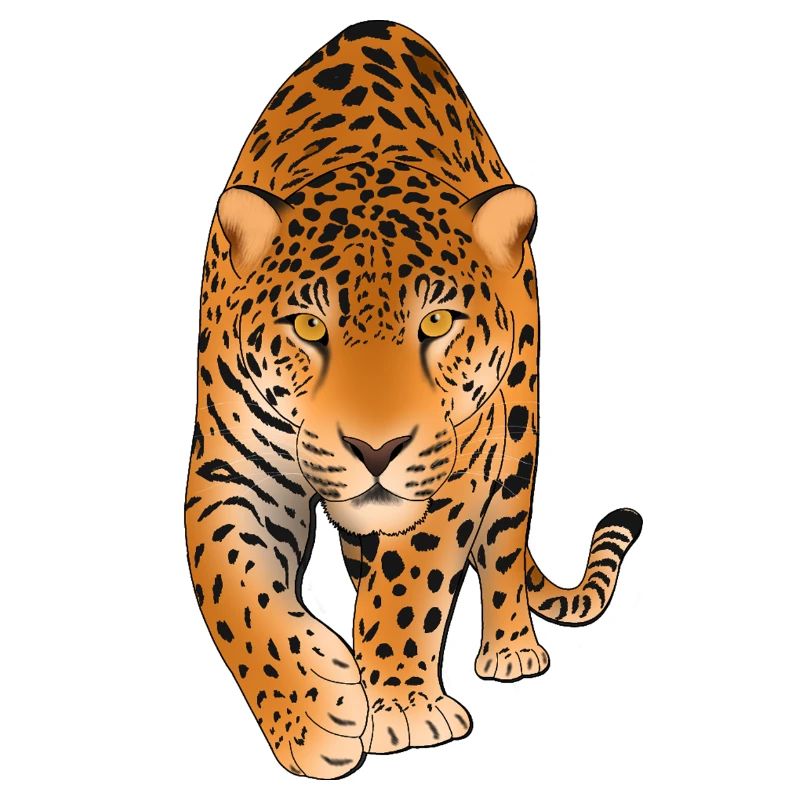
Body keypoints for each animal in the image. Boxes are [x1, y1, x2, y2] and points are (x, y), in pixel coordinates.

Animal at [184, 19, 642, 780]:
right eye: (310, 327)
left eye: (435, 322)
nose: (376, 450)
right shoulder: (232, 467)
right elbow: (233, 587)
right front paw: (314, 713)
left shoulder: (458, 464)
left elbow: (410, 581)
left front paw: (399, 705)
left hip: (518, 429)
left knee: (505, 544)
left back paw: (511, 648)